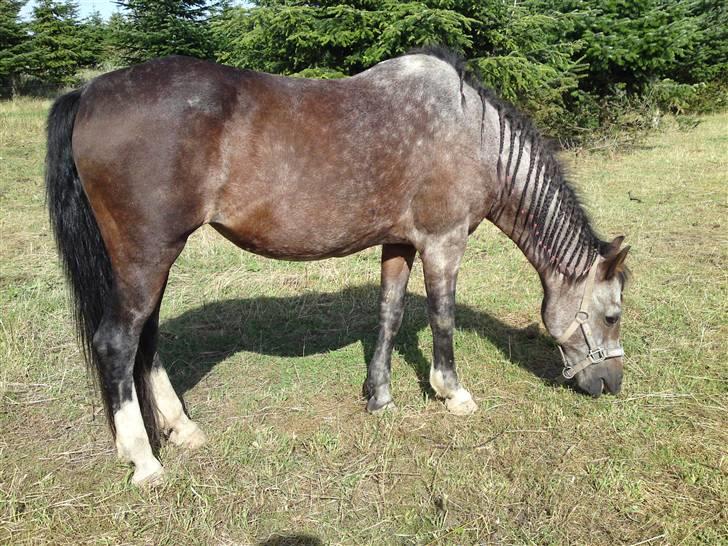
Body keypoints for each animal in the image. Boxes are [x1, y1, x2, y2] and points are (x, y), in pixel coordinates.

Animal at [45, 45, 628, 480]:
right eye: (612, 315)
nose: (612, 385)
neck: (473, 134)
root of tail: (89, 91)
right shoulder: (443, 244)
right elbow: (441, 318)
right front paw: (453, 394)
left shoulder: (399, 244)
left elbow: (390, 314)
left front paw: (380, 397)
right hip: (147, 256)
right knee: (118, 342)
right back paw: (144, 460)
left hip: (151, 262)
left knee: (145, 339)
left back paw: (182, 430)